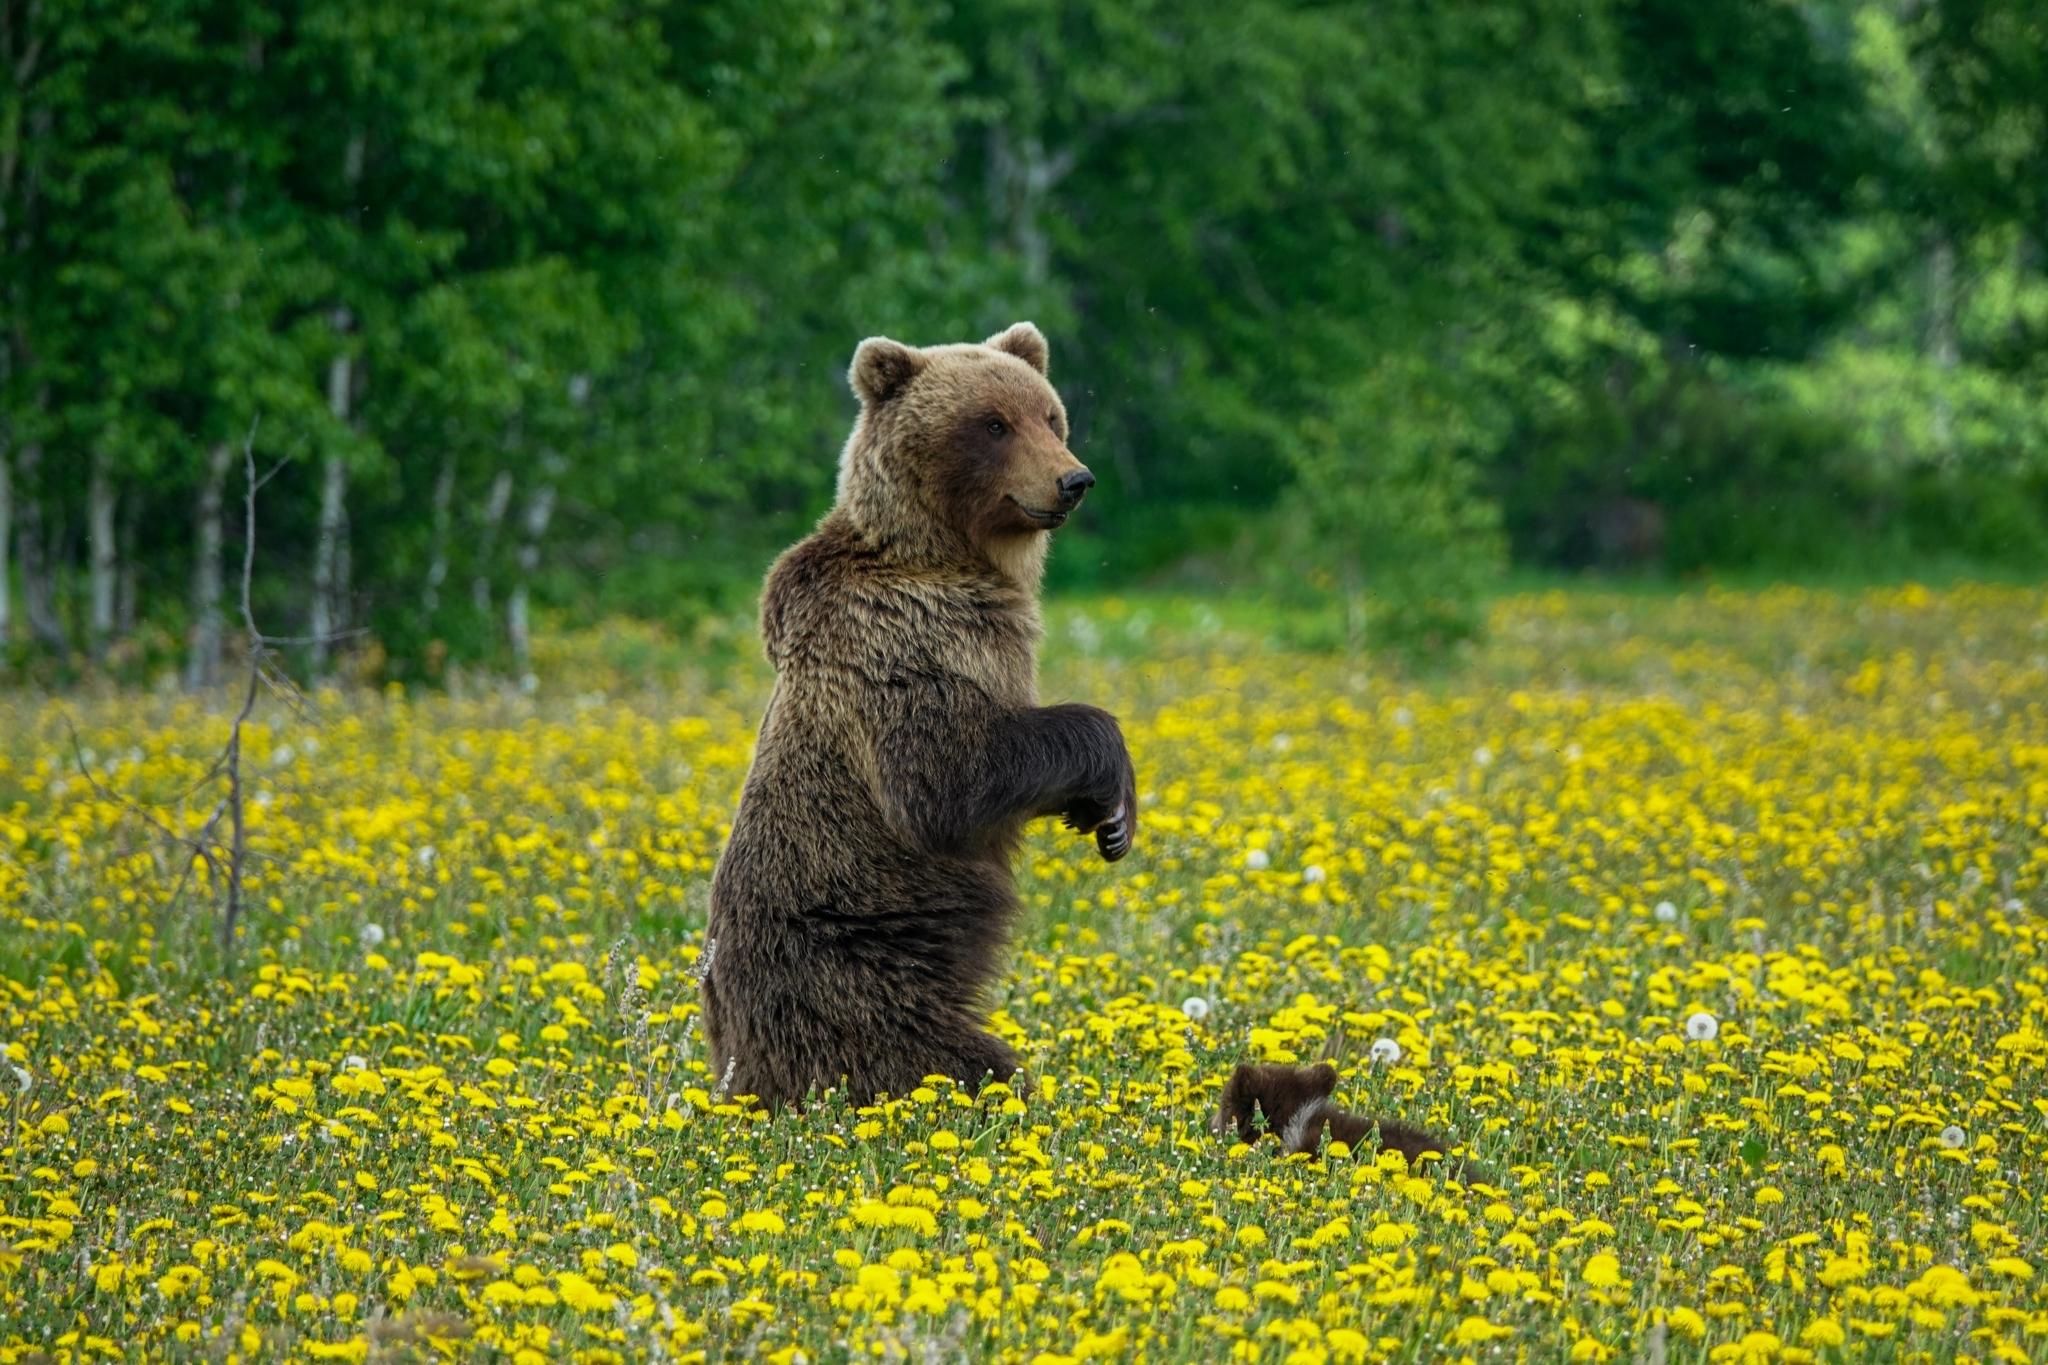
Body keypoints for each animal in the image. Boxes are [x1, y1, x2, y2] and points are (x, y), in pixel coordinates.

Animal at [699, 322, 1138, 1110]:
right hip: (855, 981)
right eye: (993, 424)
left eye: (1050, 416)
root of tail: (737, 1075)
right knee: (946, 1058)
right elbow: (946, 780)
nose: (1074, 479)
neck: (949, 555)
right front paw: (1107, 776)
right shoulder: (902, 642)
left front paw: (1110, 820)